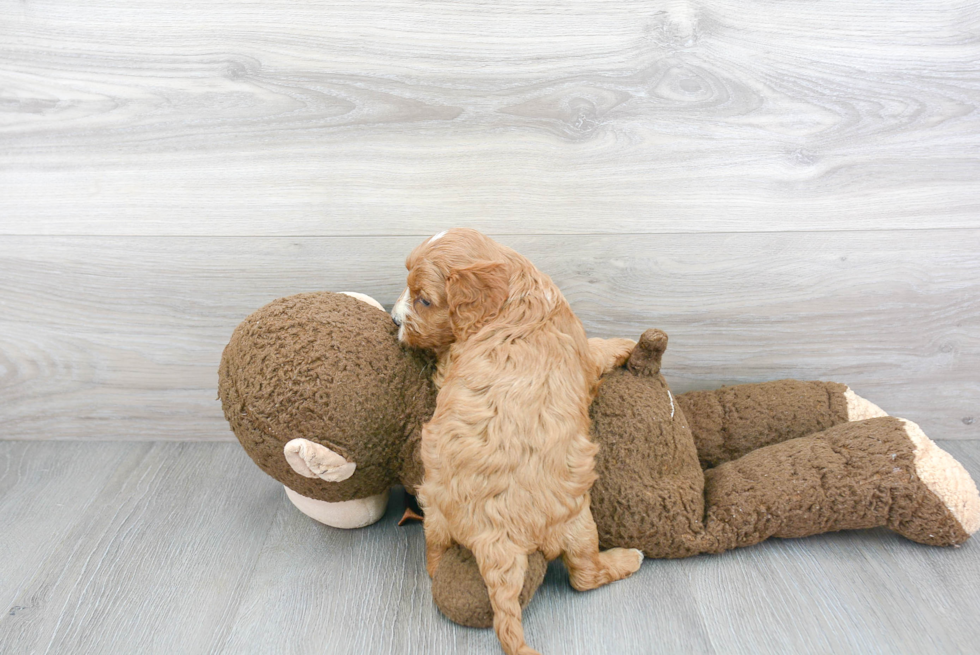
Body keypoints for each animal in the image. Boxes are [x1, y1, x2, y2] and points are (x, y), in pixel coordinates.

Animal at [390, 228, 644, 652]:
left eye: (423, 299)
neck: (514, 298)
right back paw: (627, 559)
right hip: (578, 523)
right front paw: (625, 344)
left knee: (433, 556)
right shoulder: (582, 353)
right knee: (584, 576)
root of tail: (495, 539)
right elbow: (598, 350)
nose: (394, 318)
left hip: (435, 509)